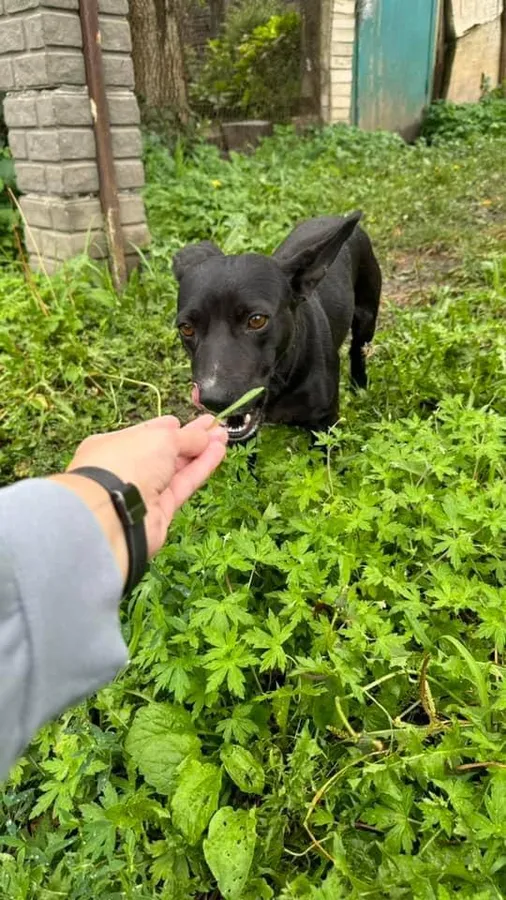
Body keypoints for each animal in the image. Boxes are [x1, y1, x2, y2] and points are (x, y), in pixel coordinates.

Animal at [173, 215, 380, 446]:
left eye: (257, 320)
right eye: (186, 328)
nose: (214, 400)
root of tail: (336, 216)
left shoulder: (325, 424)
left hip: (366, 317)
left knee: (358, 350)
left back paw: (359, 385)